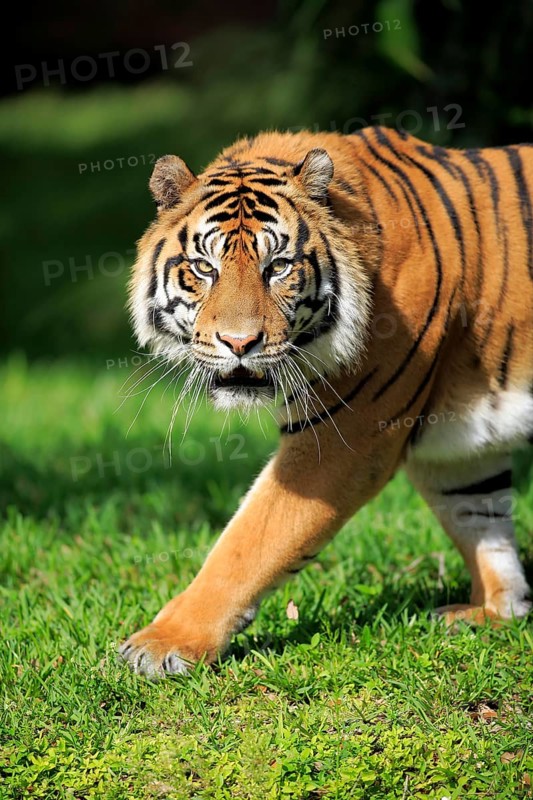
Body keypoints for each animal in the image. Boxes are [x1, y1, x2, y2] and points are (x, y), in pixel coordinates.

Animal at [121, 126, 533, 679]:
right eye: (204, 268)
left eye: (278, 267)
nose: (239, 343)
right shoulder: (459, 444)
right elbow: (479, 519)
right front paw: (497, 611)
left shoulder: (345, 437)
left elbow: (248, 542)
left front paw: (162, 643)